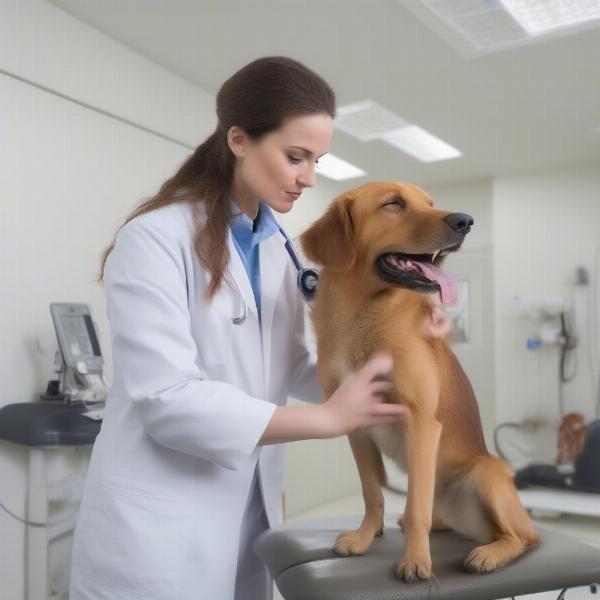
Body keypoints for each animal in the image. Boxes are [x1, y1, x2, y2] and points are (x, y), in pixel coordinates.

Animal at [300, 182, 540, 580]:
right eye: (393, 204)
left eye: (430, 203)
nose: (466, 221)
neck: (363, 316)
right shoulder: (357, 427)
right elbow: (372, 492)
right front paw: (365, 536)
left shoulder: (421, 422)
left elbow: (416, 507)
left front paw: (414, 559)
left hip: (486, 473)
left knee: (522, 537)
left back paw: (489, 554)